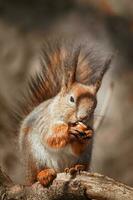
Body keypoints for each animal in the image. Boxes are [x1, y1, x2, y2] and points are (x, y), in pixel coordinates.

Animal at [18, 37, 112, 186]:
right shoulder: (45, 122)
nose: (83, 117)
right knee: (37, 174)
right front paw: (69, 131)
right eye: (72, 99)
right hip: (35, 155)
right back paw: (44, 174)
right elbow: (50, 137)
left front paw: (88, 133)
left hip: (85, 156)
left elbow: (77, 148)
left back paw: (77, 168)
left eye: (95, 105)